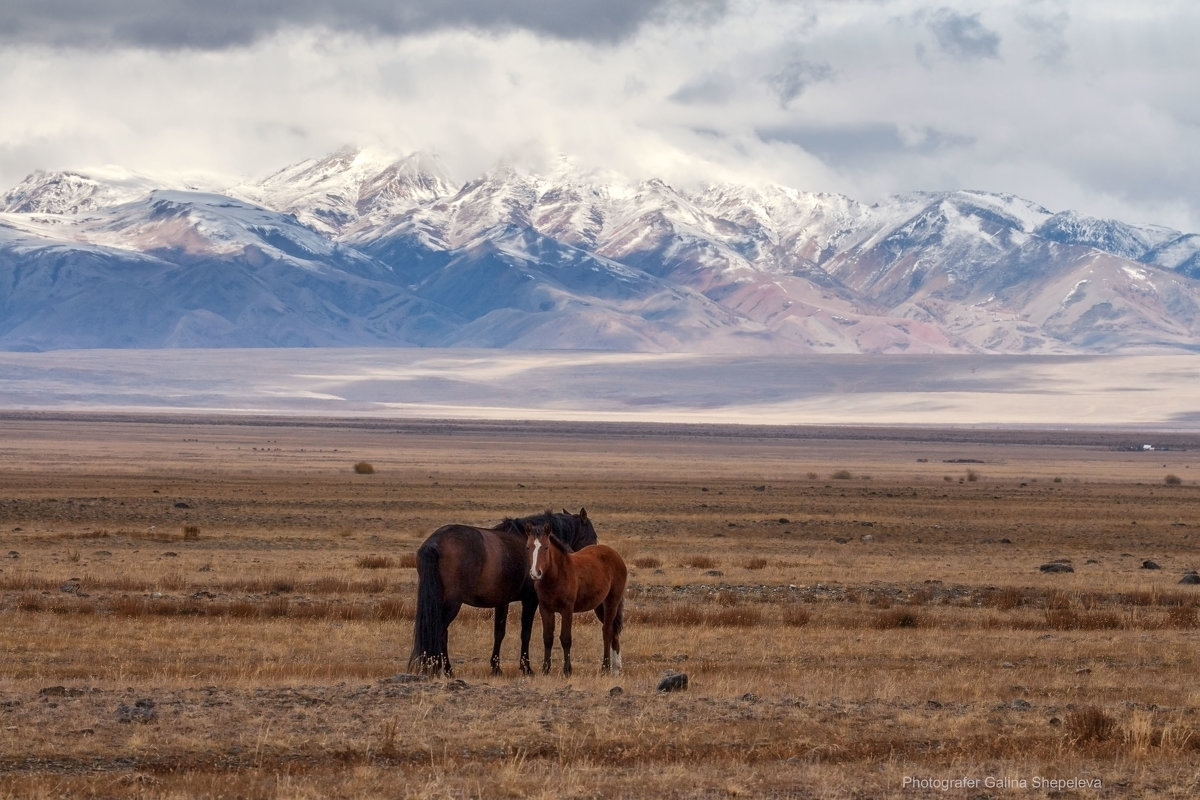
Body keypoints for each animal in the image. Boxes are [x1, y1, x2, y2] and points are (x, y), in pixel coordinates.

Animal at [410, 506, 597, 676]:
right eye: (593, 536)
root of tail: (434, 542)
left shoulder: (502, 601)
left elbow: (499, 633)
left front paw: (496, 667)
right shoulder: (530, 601)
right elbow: (525, 633)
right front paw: (526, 668)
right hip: (451, 604)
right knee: (440, 632)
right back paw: (445, 670)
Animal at [525, 522, 628, 681]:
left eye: (546, 547)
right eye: (528, 547)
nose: (535, 573)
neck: (557, 576)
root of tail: (616, 555)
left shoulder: (567, 610)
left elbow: (566, 639)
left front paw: (567, 670)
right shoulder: (545, 609)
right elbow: (547, 638)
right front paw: (545, 669)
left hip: (612, 602)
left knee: (607, 631)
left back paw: (606, 667)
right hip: (600, 606)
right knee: (613, 632)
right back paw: (616, 669)